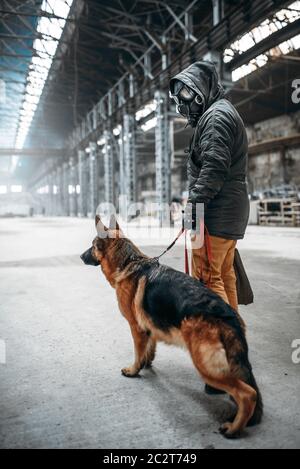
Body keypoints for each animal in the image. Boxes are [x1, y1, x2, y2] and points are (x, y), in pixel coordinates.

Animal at [81, 216, 262, 438]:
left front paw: (134, 370)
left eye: (92, 246)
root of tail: (227, 315)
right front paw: (146, 363)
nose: (80, 256)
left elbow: (137, 352)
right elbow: (149, 349)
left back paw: (233, 428)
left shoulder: (136, 328)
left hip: (205, 365)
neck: (129, 262)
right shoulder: (149, 327)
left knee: (248, 394)